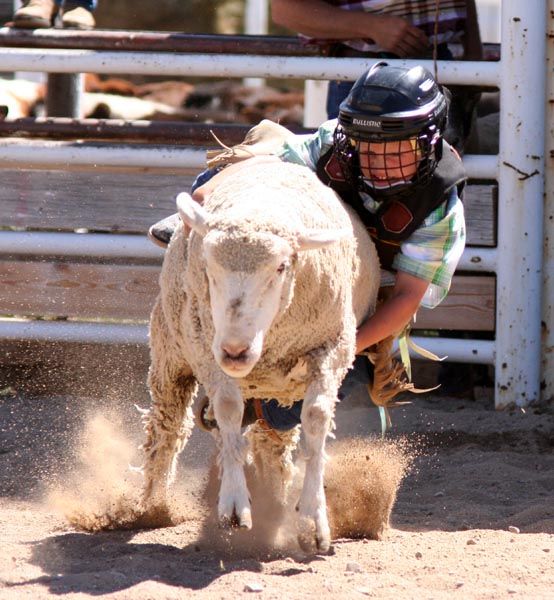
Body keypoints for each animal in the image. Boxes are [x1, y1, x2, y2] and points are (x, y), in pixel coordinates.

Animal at [138, 159, 380, 552]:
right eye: (209, 265)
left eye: (281, 267)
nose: (235, 350)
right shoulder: (207, 349)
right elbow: (226, 410)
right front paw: (234, 503)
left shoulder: (333, 348)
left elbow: (316, 417)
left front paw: (313, 519)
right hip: (171, 350)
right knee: (169, 424)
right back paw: (151, 504)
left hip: (278, 389)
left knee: (273, 440)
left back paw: (275, 497)